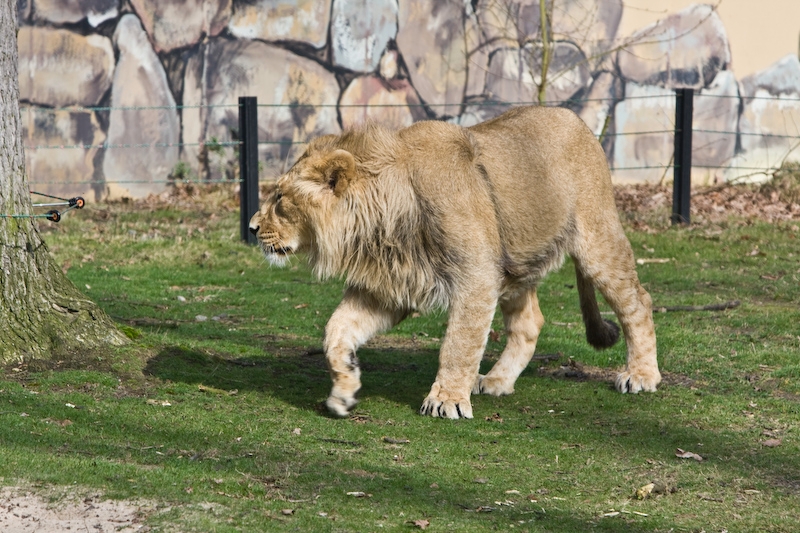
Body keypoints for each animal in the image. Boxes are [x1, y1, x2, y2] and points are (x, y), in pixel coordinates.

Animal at [249, 105, 661, 419]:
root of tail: (576, 118)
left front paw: (446, 400)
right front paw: (343, 390)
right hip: (512, 263)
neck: (379, 223)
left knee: (638, 302)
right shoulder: (389, 288)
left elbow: (459, 343)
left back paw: (641, 376)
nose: (252, 228)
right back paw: (496, 381)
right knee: (529, 323)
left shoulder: (476, 277)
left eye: (280, 199)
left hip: (595, 241)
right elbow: (336, 330)